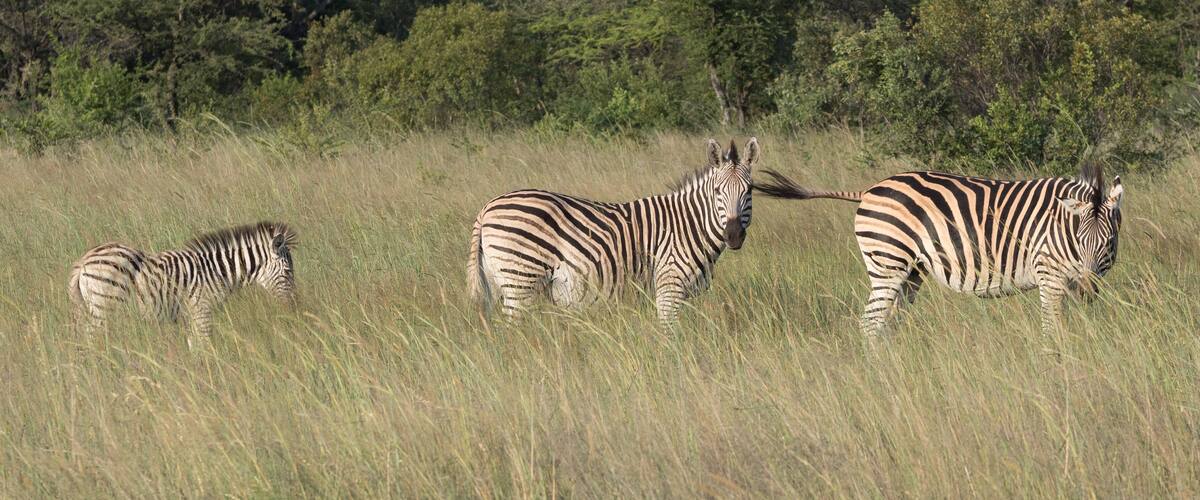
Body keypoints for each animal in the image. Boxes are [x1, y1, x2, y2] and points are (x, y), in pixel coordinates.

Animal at [69, 222, 297, 347]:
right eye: (288, 273)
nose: (292, 308)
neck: (217, 272)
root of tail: (83, 261)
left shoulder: (190, 316)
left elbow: (193, 346)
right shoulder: (202, 311)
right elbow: (204, 346)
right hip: (104, 306)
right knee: (92, 337)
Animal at [467, 138, 759, 324]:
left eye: (749, 191)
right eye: (718, 191)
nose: (733, 236)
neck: (689, 225)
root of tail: (486, 207)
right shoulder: (669, 284)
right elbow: (669, 334)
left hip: (498, 281)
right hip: (521, 280)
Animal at [754, 163, 1123, 338]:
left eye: (1108, 242)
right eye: (1080, 239)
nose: (1090, 289)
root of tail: (869, 189)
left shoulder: (1075, 280)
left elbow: (1074, 324)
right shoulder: (1049, 274)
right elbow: (1053, 327)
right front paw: (1056, 363)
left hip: (911, 271)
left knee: (887, 321)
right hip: (888, 263)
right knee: (870, 322)